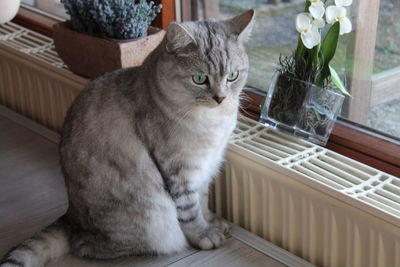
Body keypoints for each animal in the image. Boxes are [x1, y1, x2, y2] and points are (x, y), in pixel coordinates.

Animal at [0, 9, 253, 266]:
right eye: (199, 79)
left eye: (232, 76)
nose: (220, 98)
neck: (215, 119)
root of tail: (70, 219)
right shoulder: (180, 170)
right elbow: (191, 210)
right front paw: (205, 234)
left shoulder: (206, 166)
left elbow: (203, 199)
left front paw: (213, 221)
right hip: (148, 218)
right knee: (85, 246)